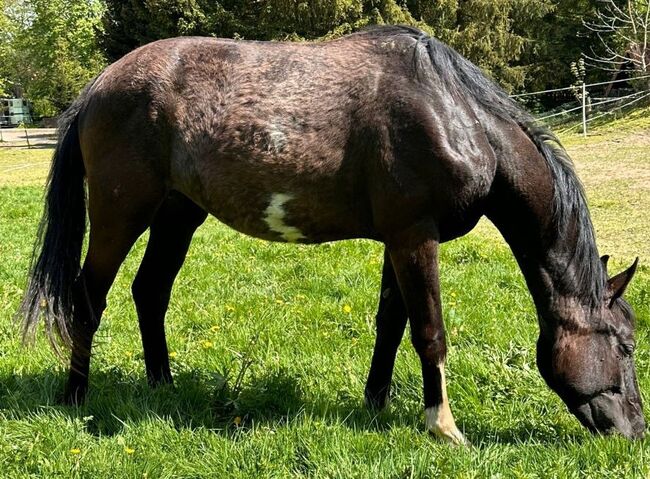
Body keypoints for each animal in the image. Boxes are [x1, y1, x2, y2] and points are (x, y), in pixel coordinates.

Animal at [17, 27, 640, 446]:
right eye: (627, 345)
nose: (634, 430)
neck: (455, 114)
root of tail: (100, 85)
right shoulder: (416, 236)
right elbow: (430, 332)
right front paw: (444, 428)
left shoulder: (400, 240)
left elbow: (392, 324)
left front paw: (376, 404)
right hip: (120, 214)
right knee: (88, 297)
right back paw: (76, 398)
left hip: (177, 214)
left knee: (150, 291)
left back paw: (162, 387)